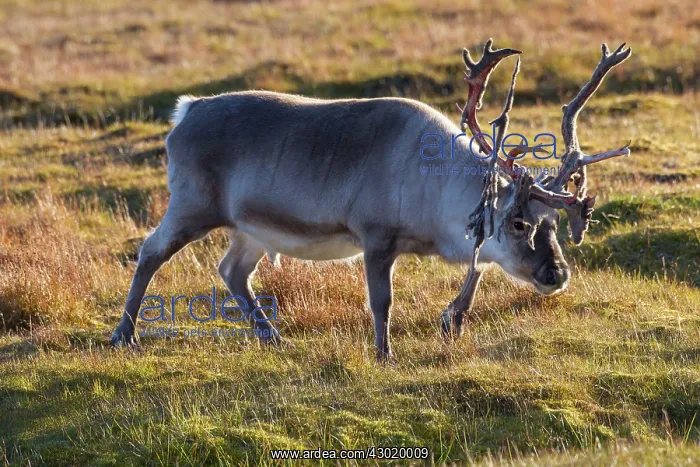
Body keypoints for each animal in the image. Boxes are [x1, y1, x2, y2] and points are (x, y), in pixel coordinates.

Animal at [111, 40, 632, 361]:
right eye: (518, 222)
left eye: (553, 224)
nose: (557, 274)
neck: (434, 187)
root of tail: (186, 111)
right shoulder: (377, 237)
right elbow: (382, 300)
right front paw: (384, 354)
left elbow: (476, 272)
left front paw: (452, 323)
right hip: (192, 205)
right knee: (150, 251)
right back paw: (123, 335)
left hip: (250, 228)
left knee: (233, 271)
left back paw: (273, 337)